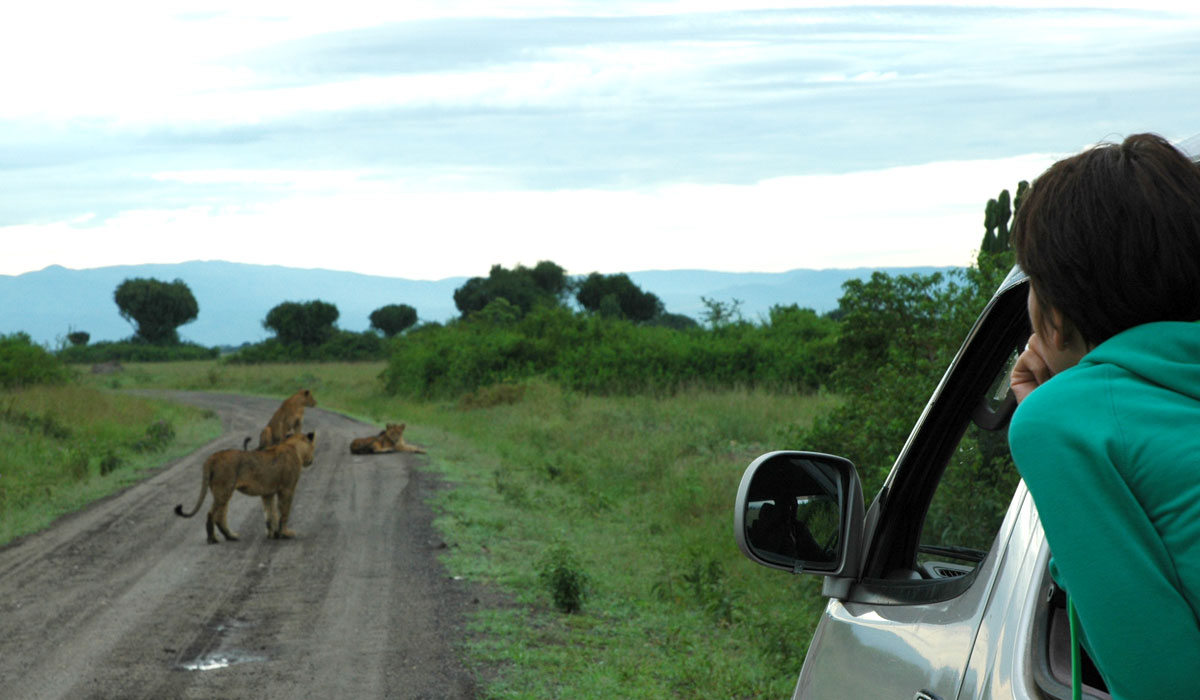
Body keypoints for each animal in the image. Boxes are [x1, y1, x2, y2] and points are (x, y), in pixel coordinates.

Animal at [174, 432, 316, 542]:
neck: (292, 446)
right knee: (212, 514)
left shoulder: (267, 493)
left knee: (220, 516)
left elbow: (270, 514)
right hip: (224, 490)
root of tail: (212, 457)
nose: (312, 461)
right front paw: (285, 533)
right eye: (313, 448)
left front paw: (273, 534)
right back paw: (213, 539)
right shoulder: (287, 489)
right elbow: (284, 512)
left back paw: (231, 536)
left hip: (222, 491)